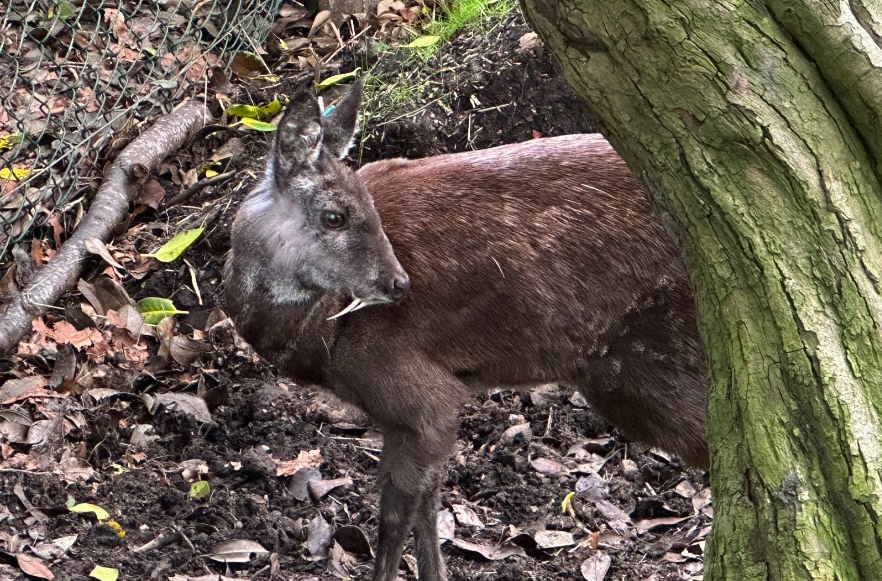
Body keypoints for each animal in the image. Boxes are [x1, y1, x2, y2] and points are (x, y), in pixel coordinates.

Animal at [223, 81, 704, 580]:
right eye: (334, 216)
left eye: (368, 210)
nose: (399, 284)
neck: (324, 337)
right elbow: (428, 505)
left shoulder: (416, 393)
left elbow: (395, 515)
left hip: (652, 361)